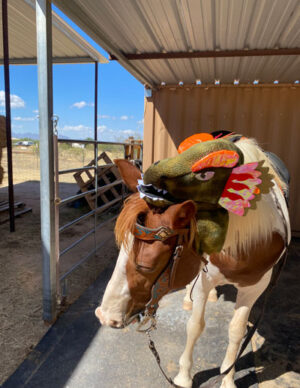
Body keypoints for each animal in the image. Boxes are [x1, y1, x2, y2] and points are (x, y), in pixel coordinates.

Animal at [96, 142, 290, 388]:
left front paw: (228, 378)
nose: (105, 316)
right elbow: (195, 326)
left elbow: (236, 332)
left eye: (147, 265)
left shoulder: (255, 287)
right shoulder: (203, 277)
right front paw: (184, 376)